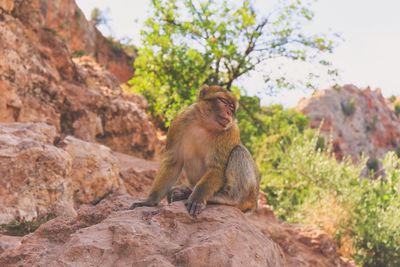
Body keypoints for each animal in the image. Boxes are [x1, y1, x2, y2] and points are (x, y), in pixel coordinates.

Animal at [129, 85, 260, 217]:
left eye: (232, 107)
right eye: (223, 101)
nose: (229, 112)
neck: (205, 124)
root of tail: (254, 204)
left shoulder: (231, 130)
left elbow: (217, 168)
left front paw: (197, 198)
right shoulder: (180, 120)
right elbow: (173, 162)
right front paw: (150, 201)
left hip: (249, 197)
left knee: (239, 150)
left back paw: (228, 198)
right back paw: (184, 192)